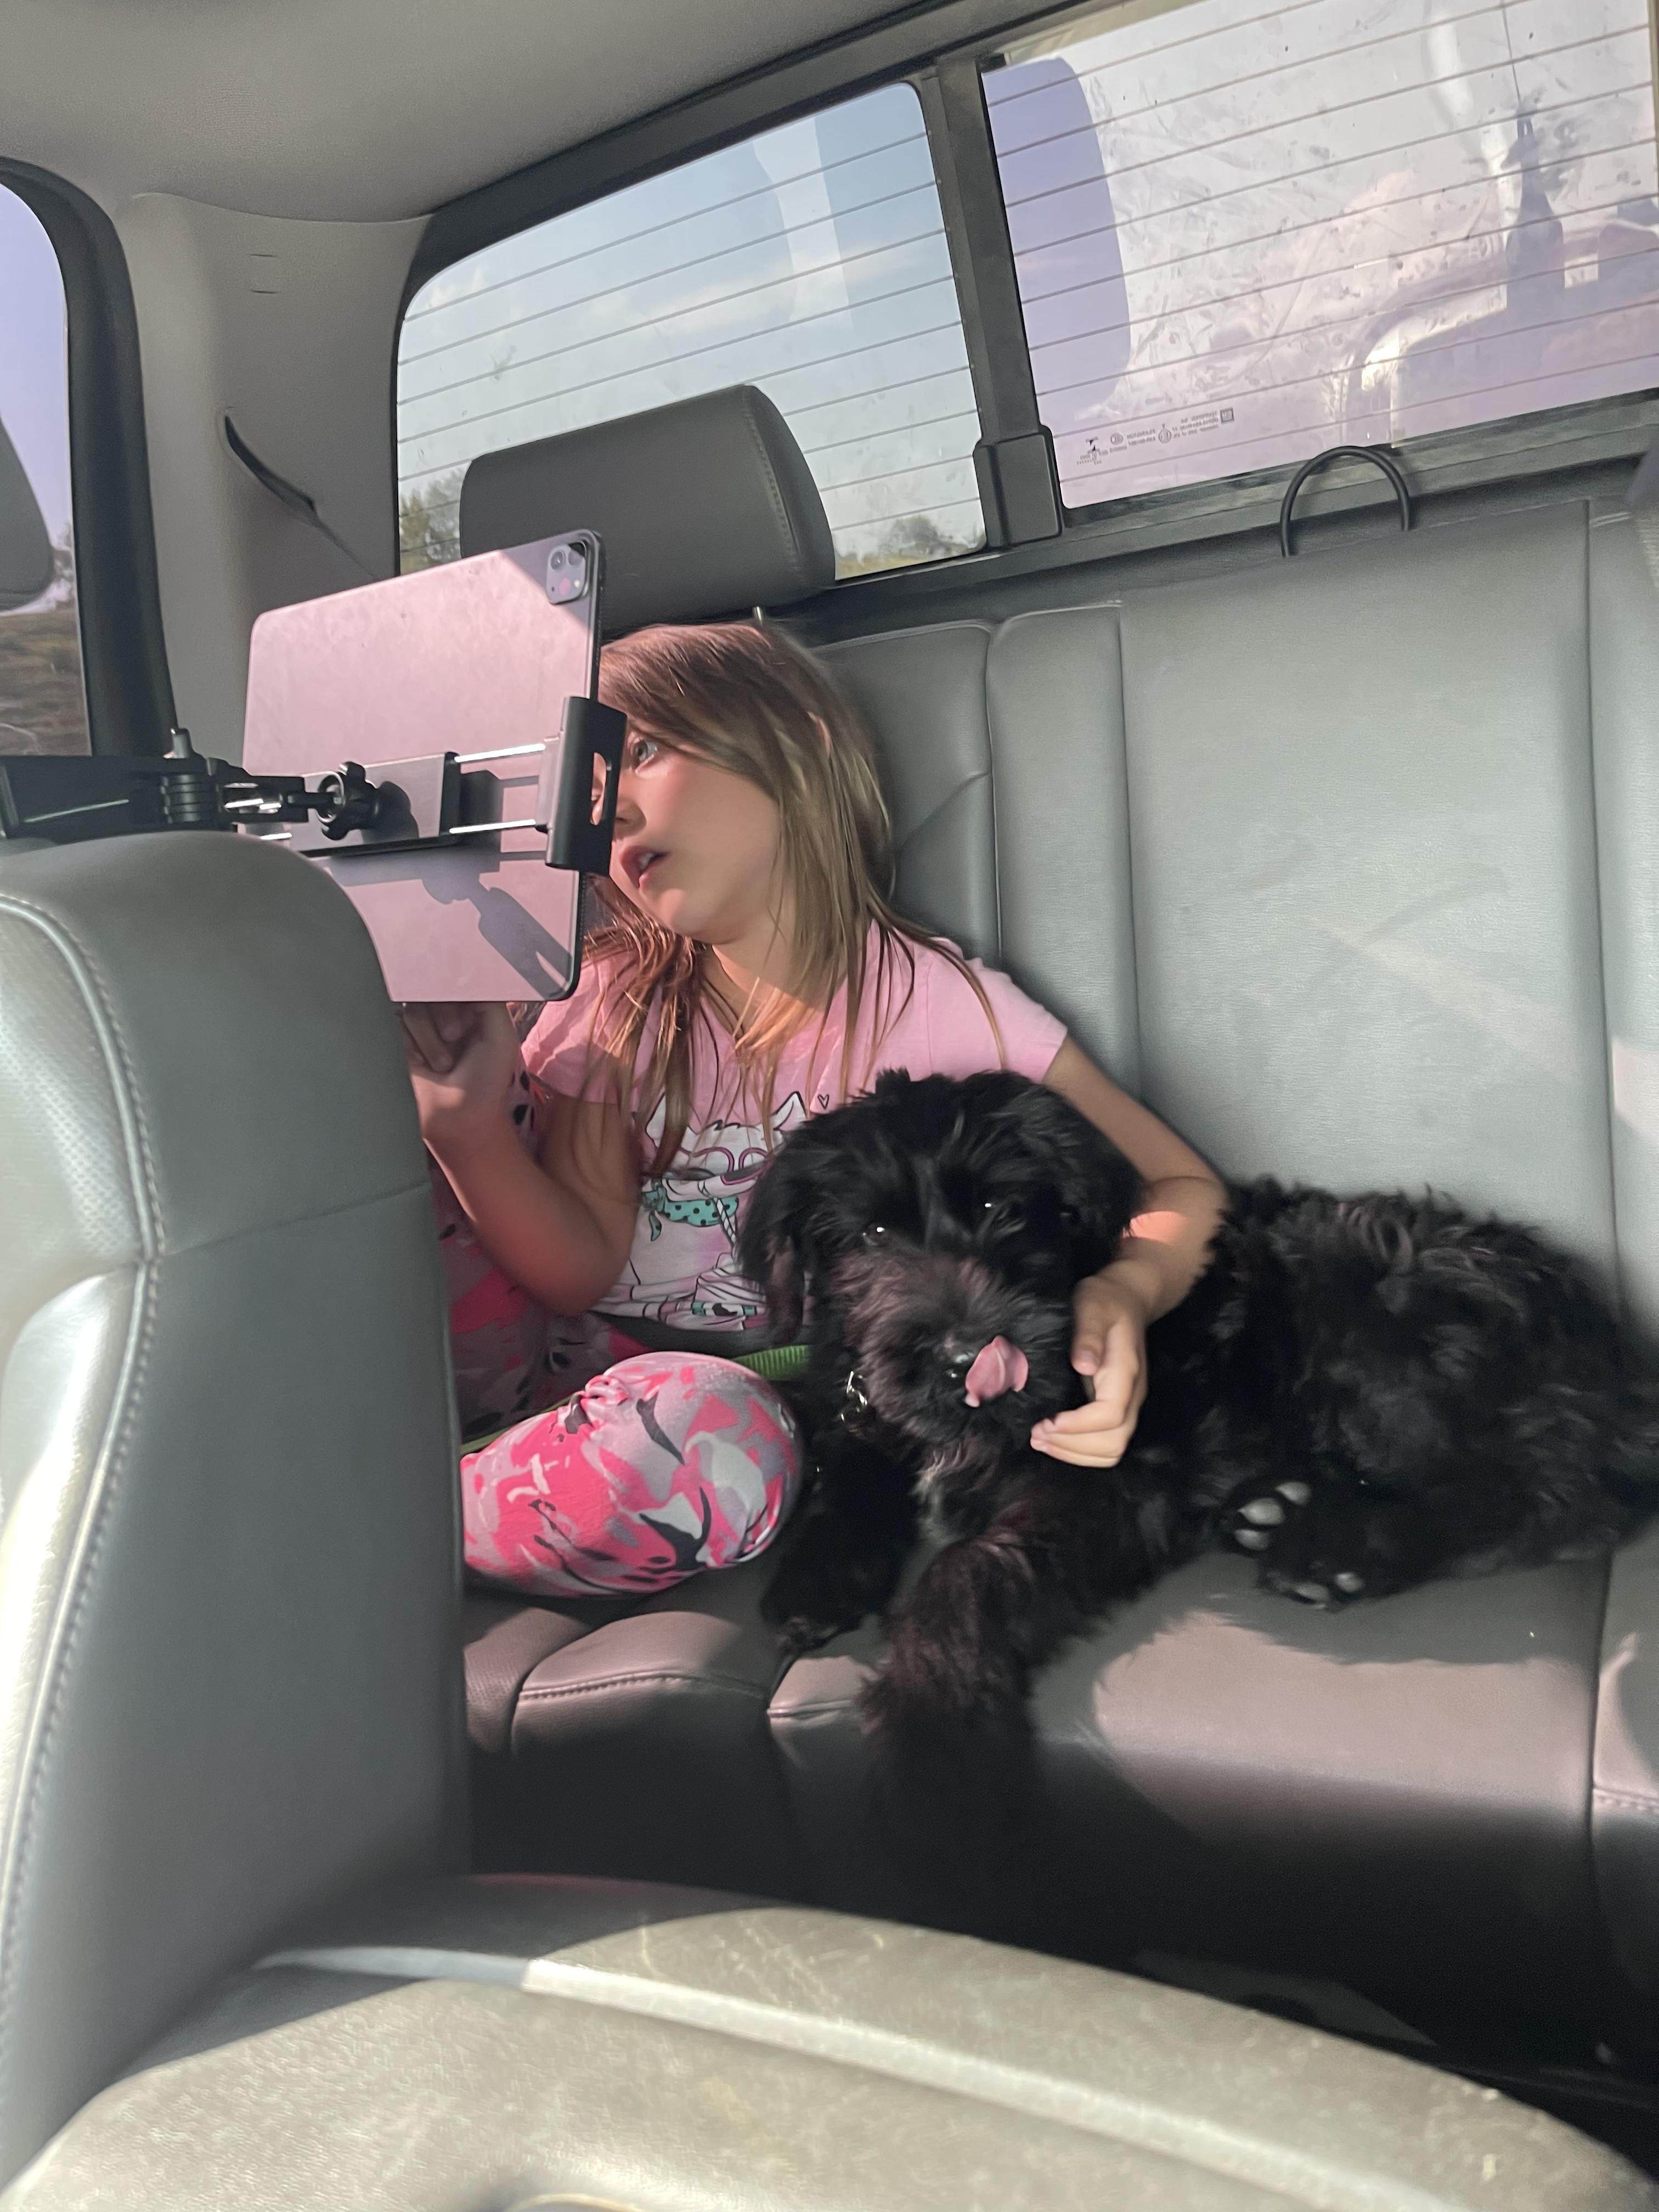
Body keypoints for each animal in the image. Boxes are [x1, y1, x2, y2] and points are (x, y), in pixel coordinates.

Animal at [738, 1070, 1659, 1778]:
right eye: (872, 1233)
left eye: (1005, 1208)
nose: (970, 1352)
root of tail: (1615, 1356)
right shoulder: (863, 1401)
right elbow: (851, 1469)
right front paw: (818, 1576)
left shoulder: (1110, 1488)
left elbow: (968, 1572)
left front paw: (931, 1718)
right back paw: (1279, 1505)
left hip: (1380, 1328)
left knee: (1551, 1495)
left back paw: (1335, 1549)